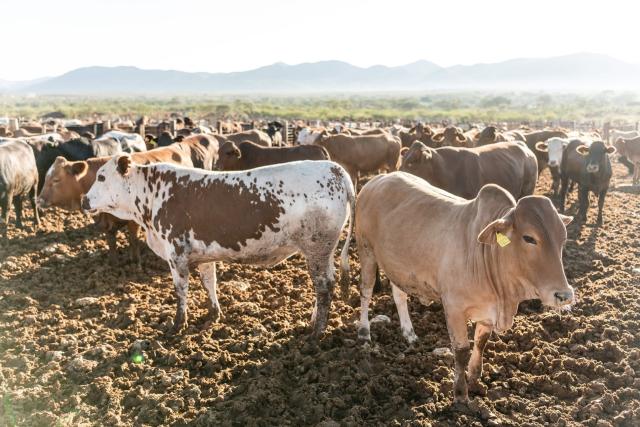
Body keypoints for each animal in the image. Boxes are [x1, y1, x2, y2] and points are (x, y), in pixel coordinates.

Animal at [81, 158, 355, 336]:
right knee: (327, 283)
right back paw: (313, 322)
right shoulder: (203, 256)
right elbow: (209, 282)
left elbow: (181, 291)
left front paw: (177, 324)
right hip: (324, 251)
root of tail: (335, 169)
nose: (84, 200)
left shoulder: (176, 256)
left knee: (323, 287)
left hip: (316, 248)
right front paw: (213, 314)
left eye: (101, 177)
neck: (152, 194)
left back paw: (316, 333)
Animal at [353, 172, 574, 402]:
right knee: (366, 291)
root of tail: (376, 180)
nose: (564, 295)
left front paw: (475, 378)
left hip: (398, 266)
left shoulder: (488, 311)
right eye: (529, 238)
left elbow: (481, 342)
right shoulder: (454, 308)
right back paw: (364, 333)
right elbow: (461, 350)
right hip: (365, 250)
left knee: (399, 295)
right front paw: (460, 395)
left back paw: (409, 333)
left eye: (563, 238)